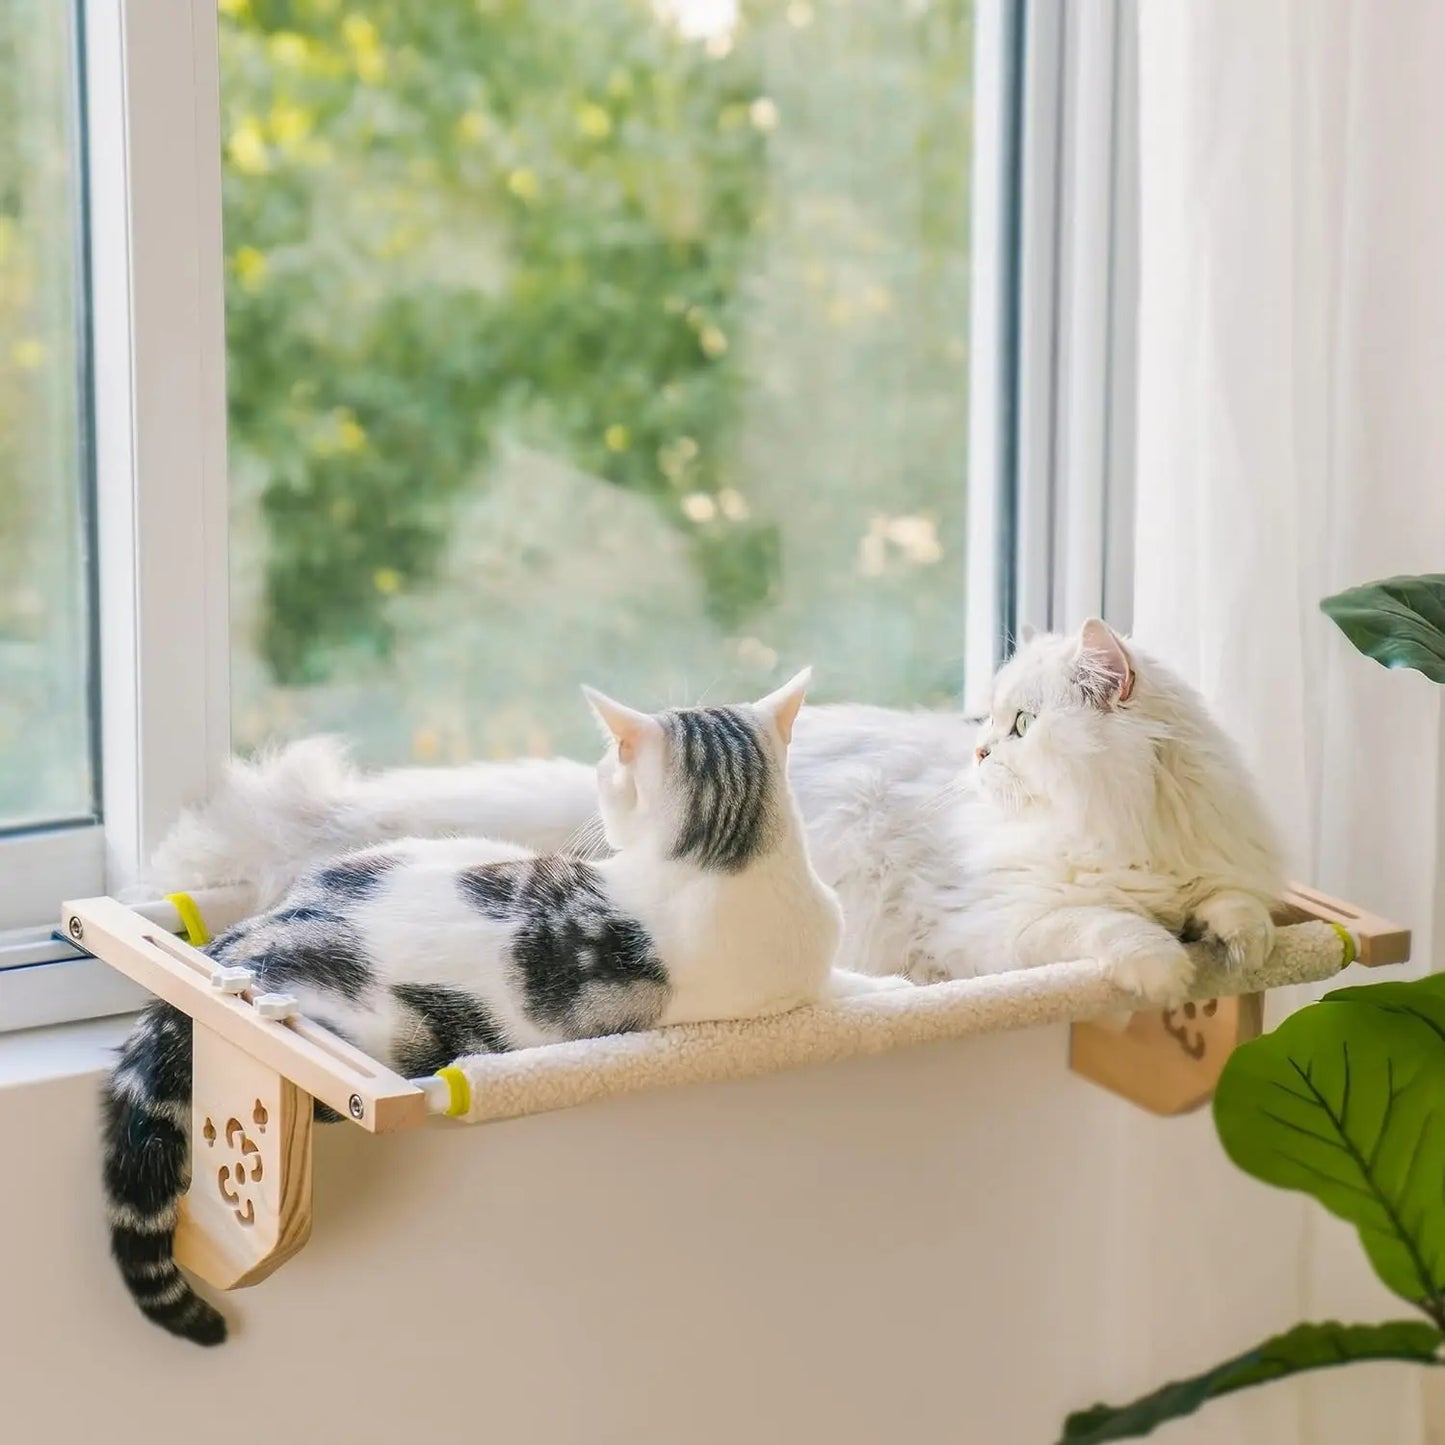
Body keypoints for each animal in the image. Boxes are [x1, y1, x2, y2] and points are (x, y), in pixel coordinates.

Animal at [152, 621, 1288, 1005]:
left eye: (1017, 725)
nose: (975, 753)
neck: (1134, 824)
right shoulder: (994, 916)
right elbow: (1108, 928)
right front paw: (1163, 970)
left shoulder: (1221, 865)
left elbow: (1239, 907)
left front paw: (1236, 948)